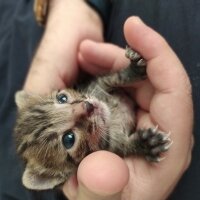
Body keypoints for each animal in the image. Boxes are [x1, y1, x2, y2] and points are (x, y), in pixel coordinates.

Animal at [14, 46, 171, 191]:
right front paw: (146, 144)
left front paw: (133, 70)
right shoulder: (113, 148)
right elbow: (124, 147)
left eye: (62, 98)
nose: (87, 106)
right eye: (68, 139)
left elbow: (113, 78)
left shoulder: (97, 85)